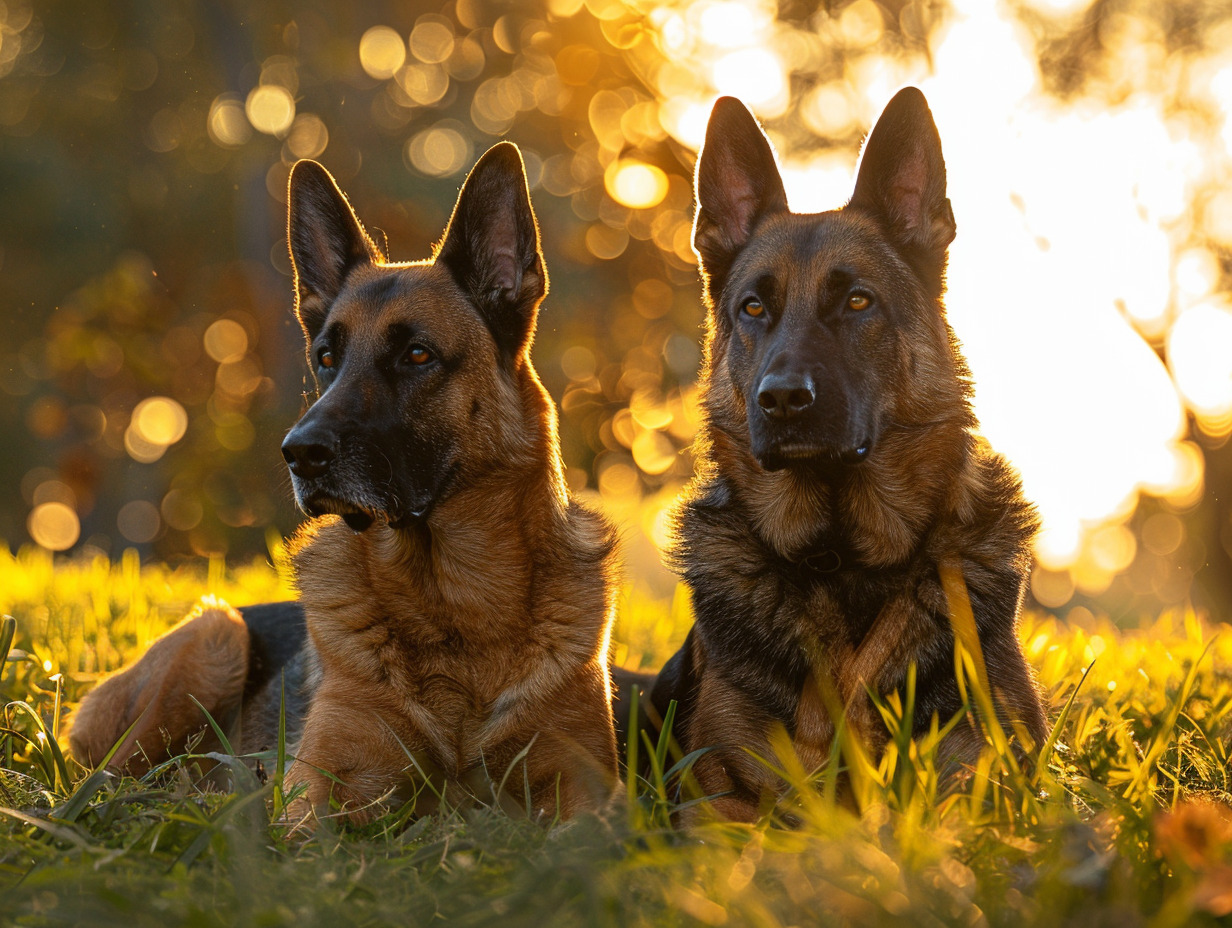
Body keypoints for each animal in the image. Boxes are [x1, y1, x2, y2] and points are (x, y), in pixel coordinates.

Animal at [70, 141, 620, 823]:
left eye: (417, 355)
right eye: (326, 358)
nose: (298, 454)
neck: (453, 605)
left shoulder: (588, 794)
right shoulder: (320, 791)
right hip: (217, 636)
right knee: (108, 784)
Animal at [650, 90, 1044, 823]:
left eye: (858, 300)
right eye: (754, 308)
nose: (781, 400)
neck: (847, 559)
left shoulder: (988, 785)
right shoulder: (722, 800)